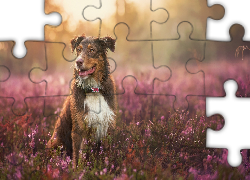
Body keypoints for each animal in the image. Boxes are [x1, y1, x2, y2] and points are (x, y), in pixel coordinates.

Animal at [46, 33, 116, 169]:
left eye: (91, 50)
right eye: (78, 50)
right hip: (56, 142)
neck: (93, 90)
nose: (78, 62)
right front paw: (77, 171)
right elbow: (78, 157)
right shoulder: (79, 130)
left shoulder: (107, 126)